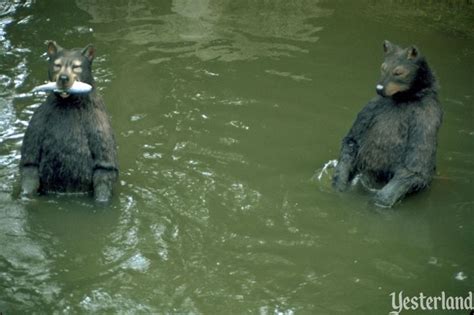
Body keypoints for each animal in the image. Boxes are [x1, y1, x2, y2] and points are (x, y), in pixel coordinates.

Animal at [19, 40, 118, 204]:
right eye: (57, 65)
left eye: (76, 66)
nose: (64, 78)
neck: (68, 104)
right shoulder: (38, 120)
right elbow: (29, 162)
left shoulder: (99, 122)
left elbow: (105, 166)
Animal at [332, 40, 442, 209]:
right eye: (383, 67)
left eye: (398, 72)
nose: (379, 88)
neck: (404, 98)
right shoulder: (373, 108)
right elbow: (352, 140)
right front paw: (339, 182)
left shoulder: (425, 116)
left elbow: (416, 165)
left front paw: (381, 200)